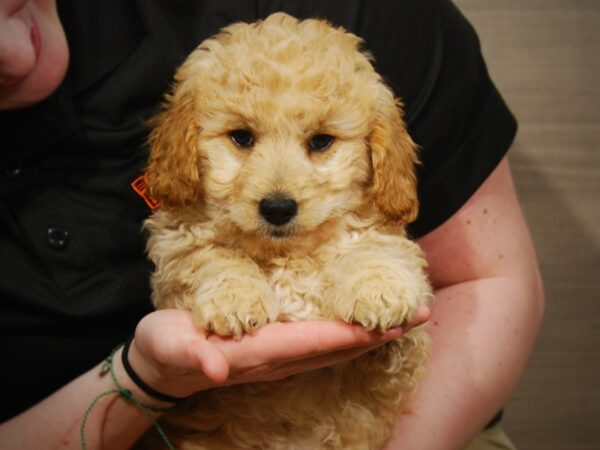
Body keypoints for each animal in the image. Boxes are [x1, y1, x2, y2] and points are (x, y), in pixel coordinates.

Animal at [144, 13, 432, 450]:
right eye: (241, 137)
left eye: (321, 141)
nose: (278, 208)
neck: (289, 256)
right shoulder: (176, 247)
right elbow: (211, 255)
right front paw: (235, 296)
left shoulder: (393, 362)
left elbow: (374, 250)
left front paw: (379, 289)